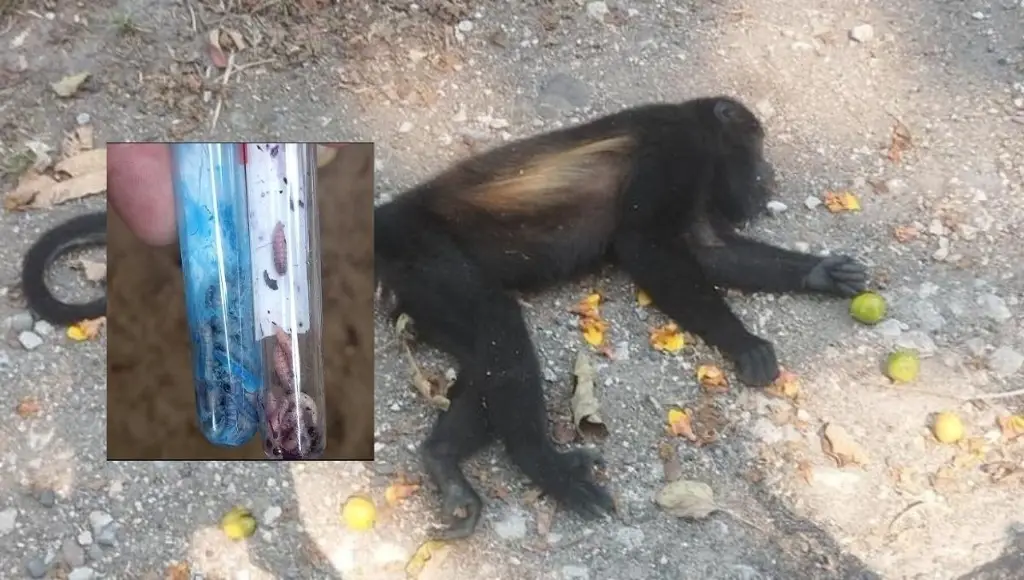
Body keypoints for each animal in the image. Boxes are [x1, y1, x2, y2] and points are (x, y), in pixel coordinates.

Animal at [373, 96, 869, 540]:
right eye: (758, 148)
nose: (768, 176)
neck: (698, 125)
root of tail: (385, 219)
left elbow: (710, 251)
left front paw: (821, 272)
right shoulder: (677, 146)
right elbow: (644, 242)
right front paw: (742, 341)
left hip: (422, 294)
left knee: (483, 355)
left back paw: (443, 461)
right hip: (426, 253)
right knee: (501, 323)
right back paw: (544, 465)